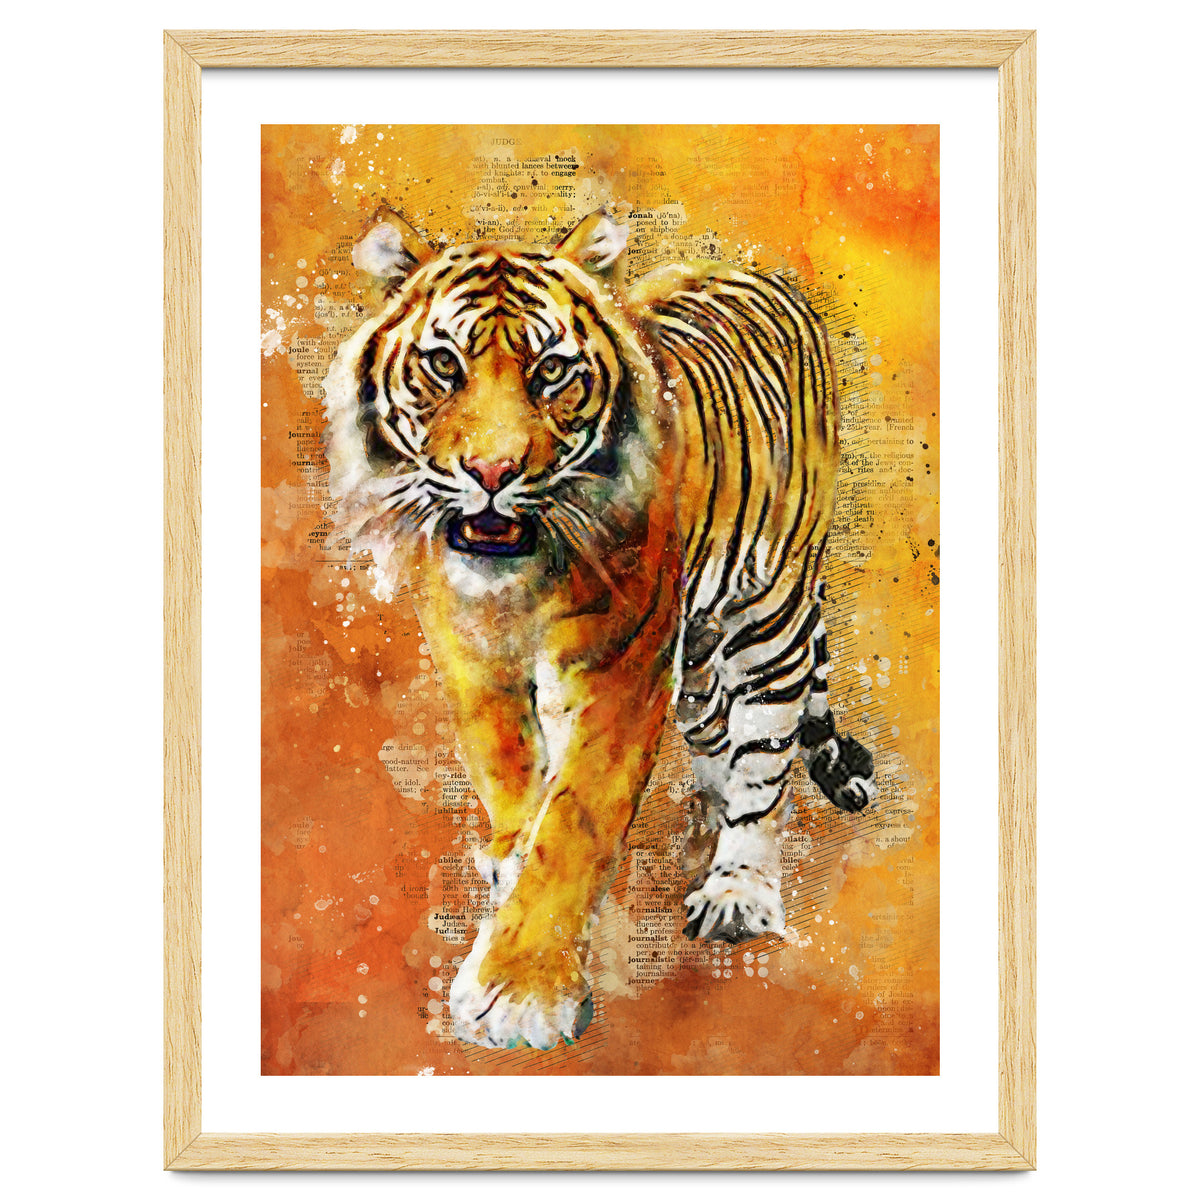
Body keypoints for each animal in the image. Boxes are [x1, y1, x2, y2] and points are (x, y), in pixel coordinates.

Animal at [322, 202, 876, 1051]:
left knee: (765, 752)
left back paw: (738, 887)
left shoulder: (621, 668)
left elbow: (576, 821)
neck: (517, 583)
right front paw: (511, 858)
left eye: (551, 371)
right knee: (714, 729)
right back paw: (705, 815)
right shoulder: (470, 650)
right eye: (444, 365)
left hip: (768, 608)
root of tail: (756, 271)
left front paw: (521, 991)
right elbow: (509, 770)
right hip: (701, 647)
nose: (492, 473)